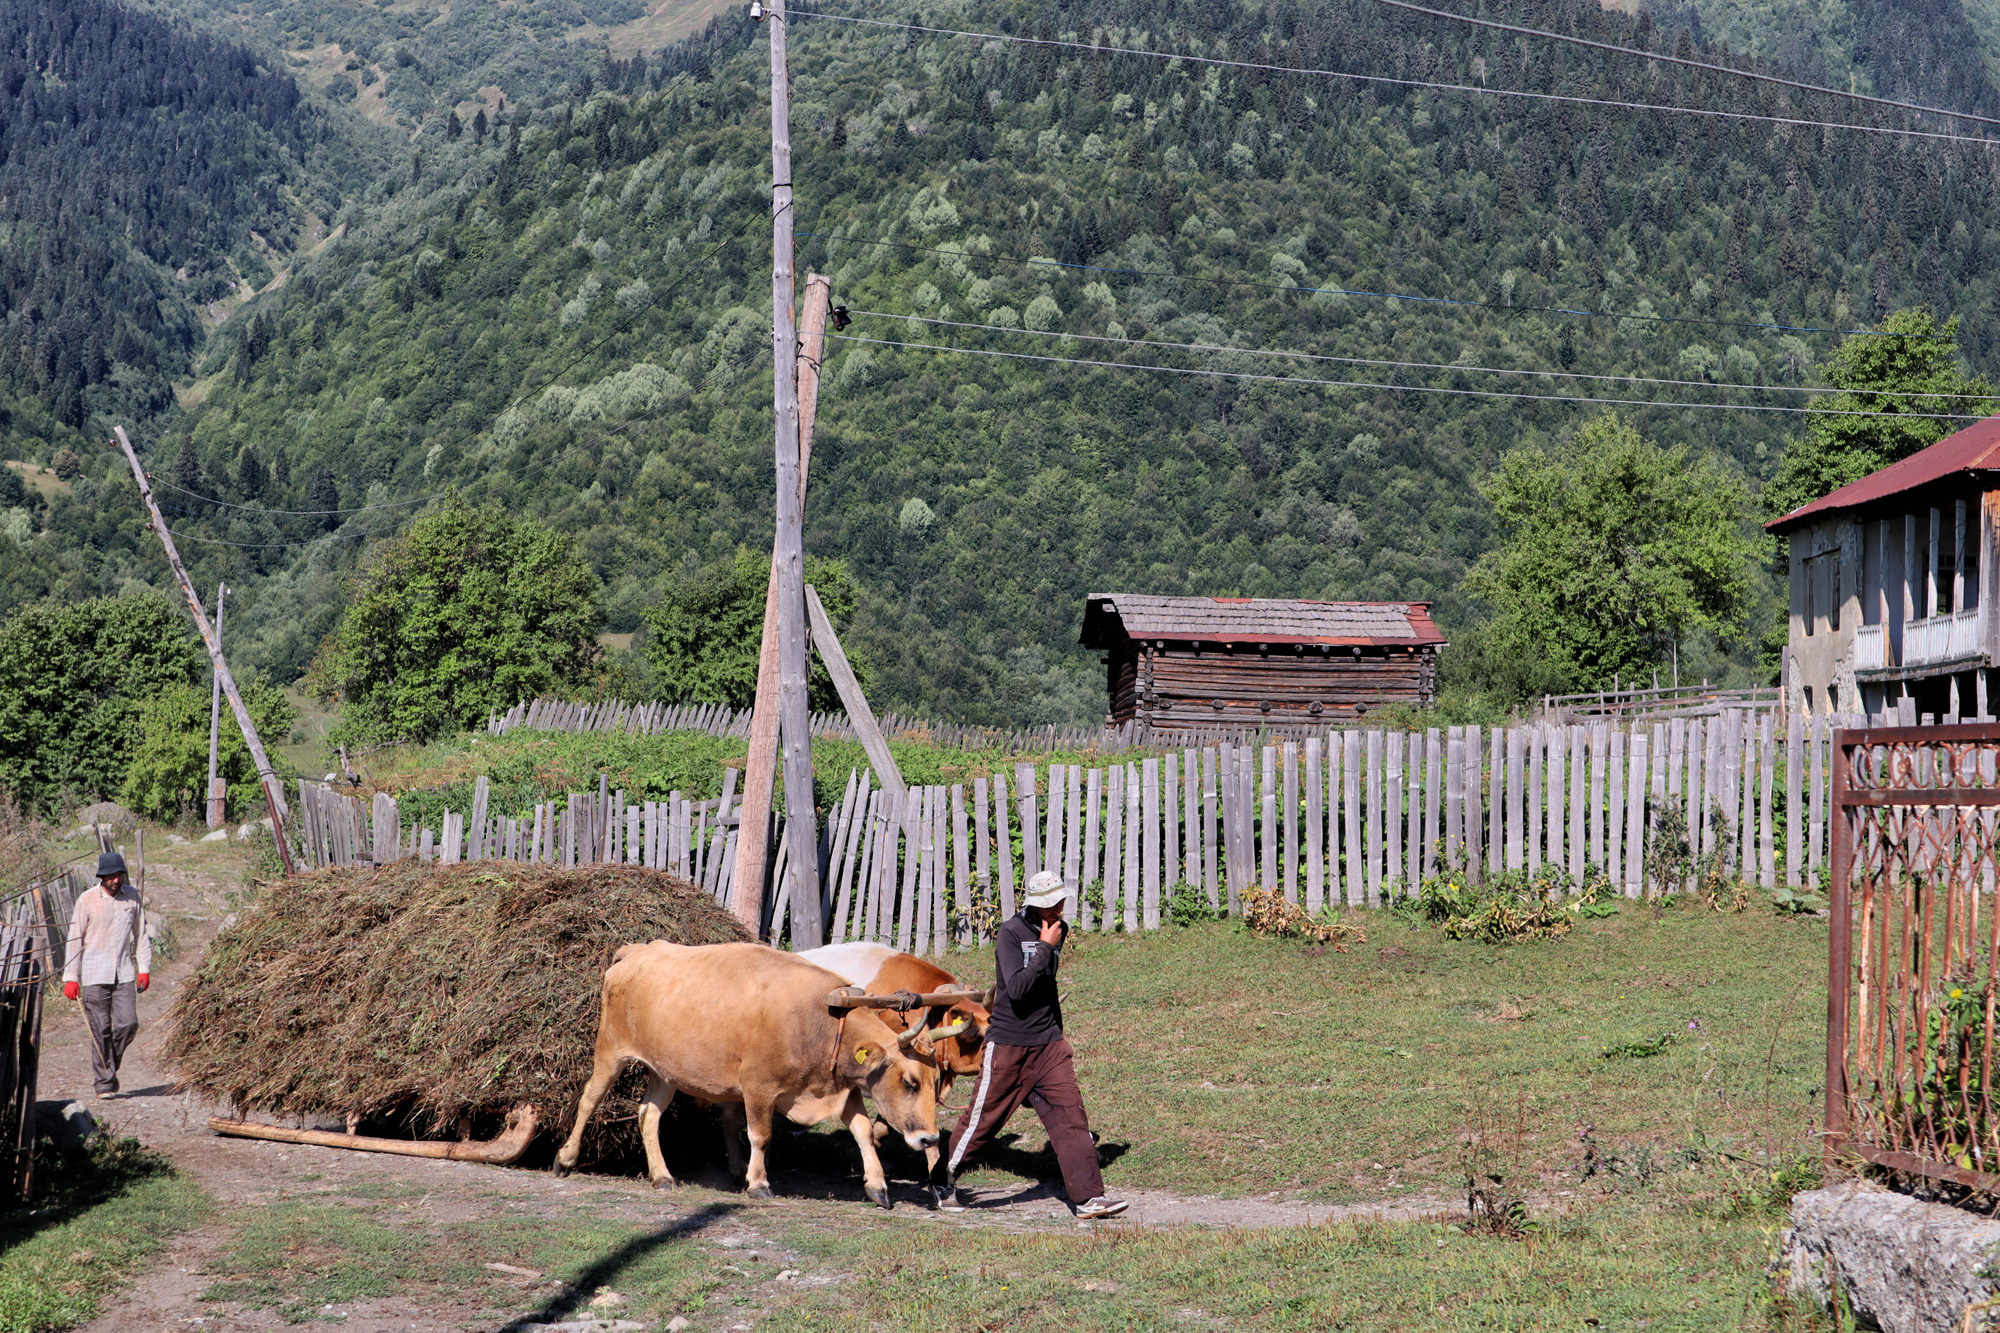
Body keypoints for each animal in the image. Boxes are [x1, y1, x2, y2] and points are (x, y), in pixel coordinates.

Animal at [552, 932, 948, 1200]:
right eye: (910, 1082)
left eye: (935, 1081)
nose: (930, 1138)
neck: (821, 1017)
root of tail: (639, 950)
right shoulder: (758, 1086)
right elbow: (760, 1134)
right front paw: (757, 1182)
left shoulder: (841, 1088)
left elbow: (863, 1131)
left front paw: (877, 1185)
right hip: (610, 1052)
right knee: (589, 1100)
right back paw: (566, 1159)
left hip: (665, 1072)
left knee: (649, 1114)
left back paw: (662, 1176)